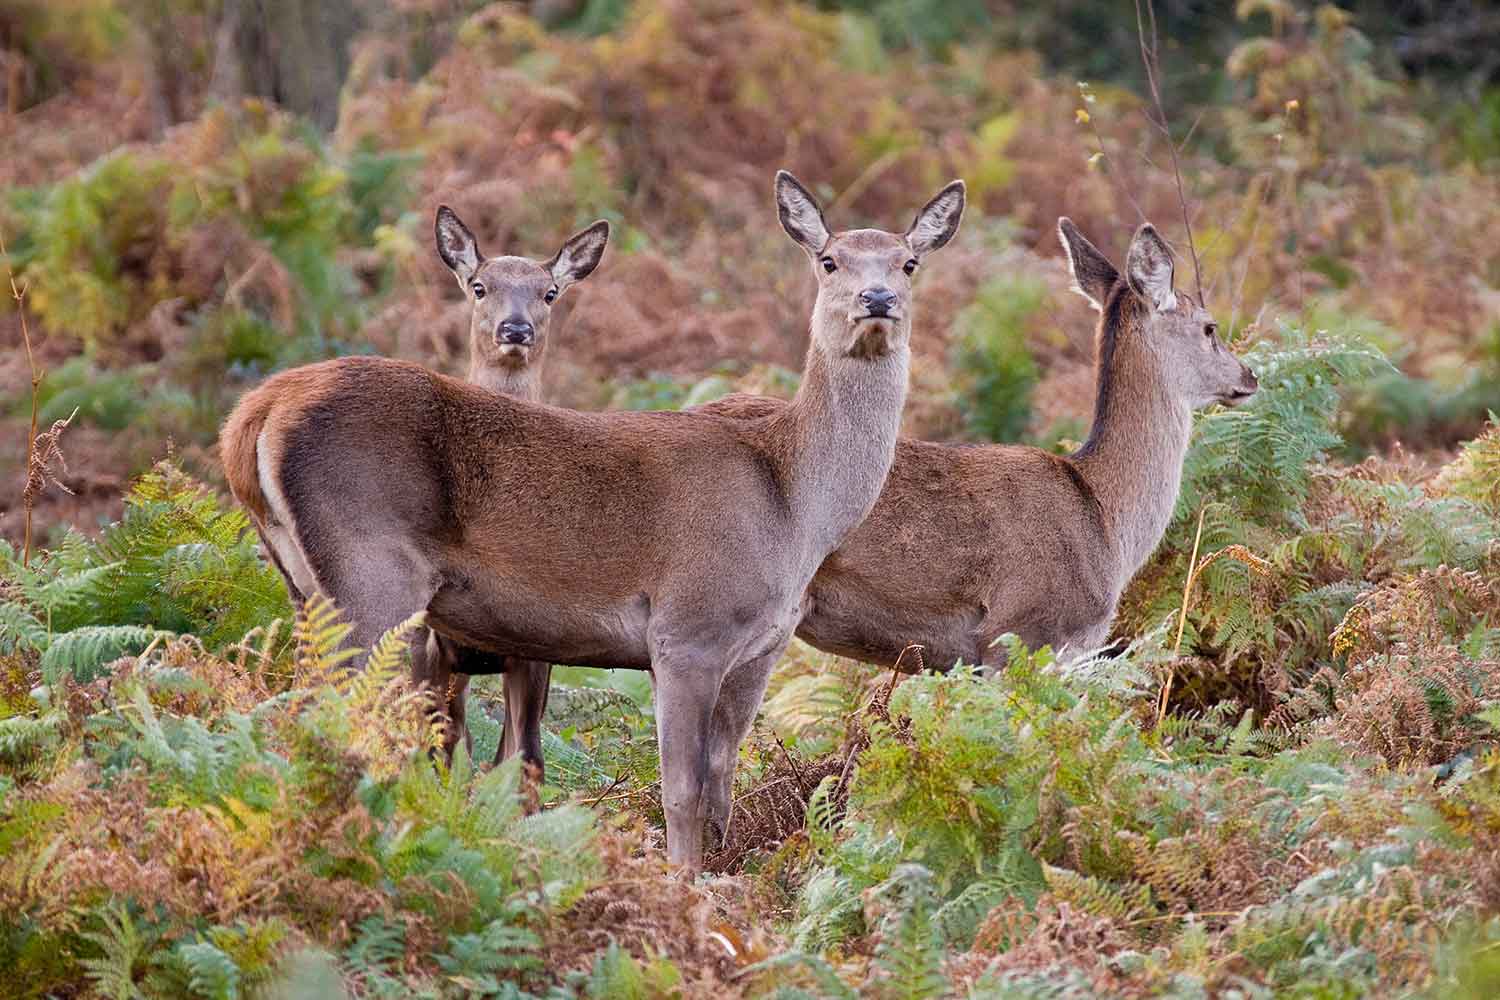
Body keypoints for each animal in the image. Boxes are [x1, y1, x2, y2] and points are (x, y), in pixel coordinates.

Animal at [405, 206, 609, 773]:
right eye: (479, 286)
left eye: (549, 292)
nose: (514, 328)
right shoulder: (436, 644)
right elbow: (444, 743)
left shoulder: (539, 650)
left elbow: (525, 757)